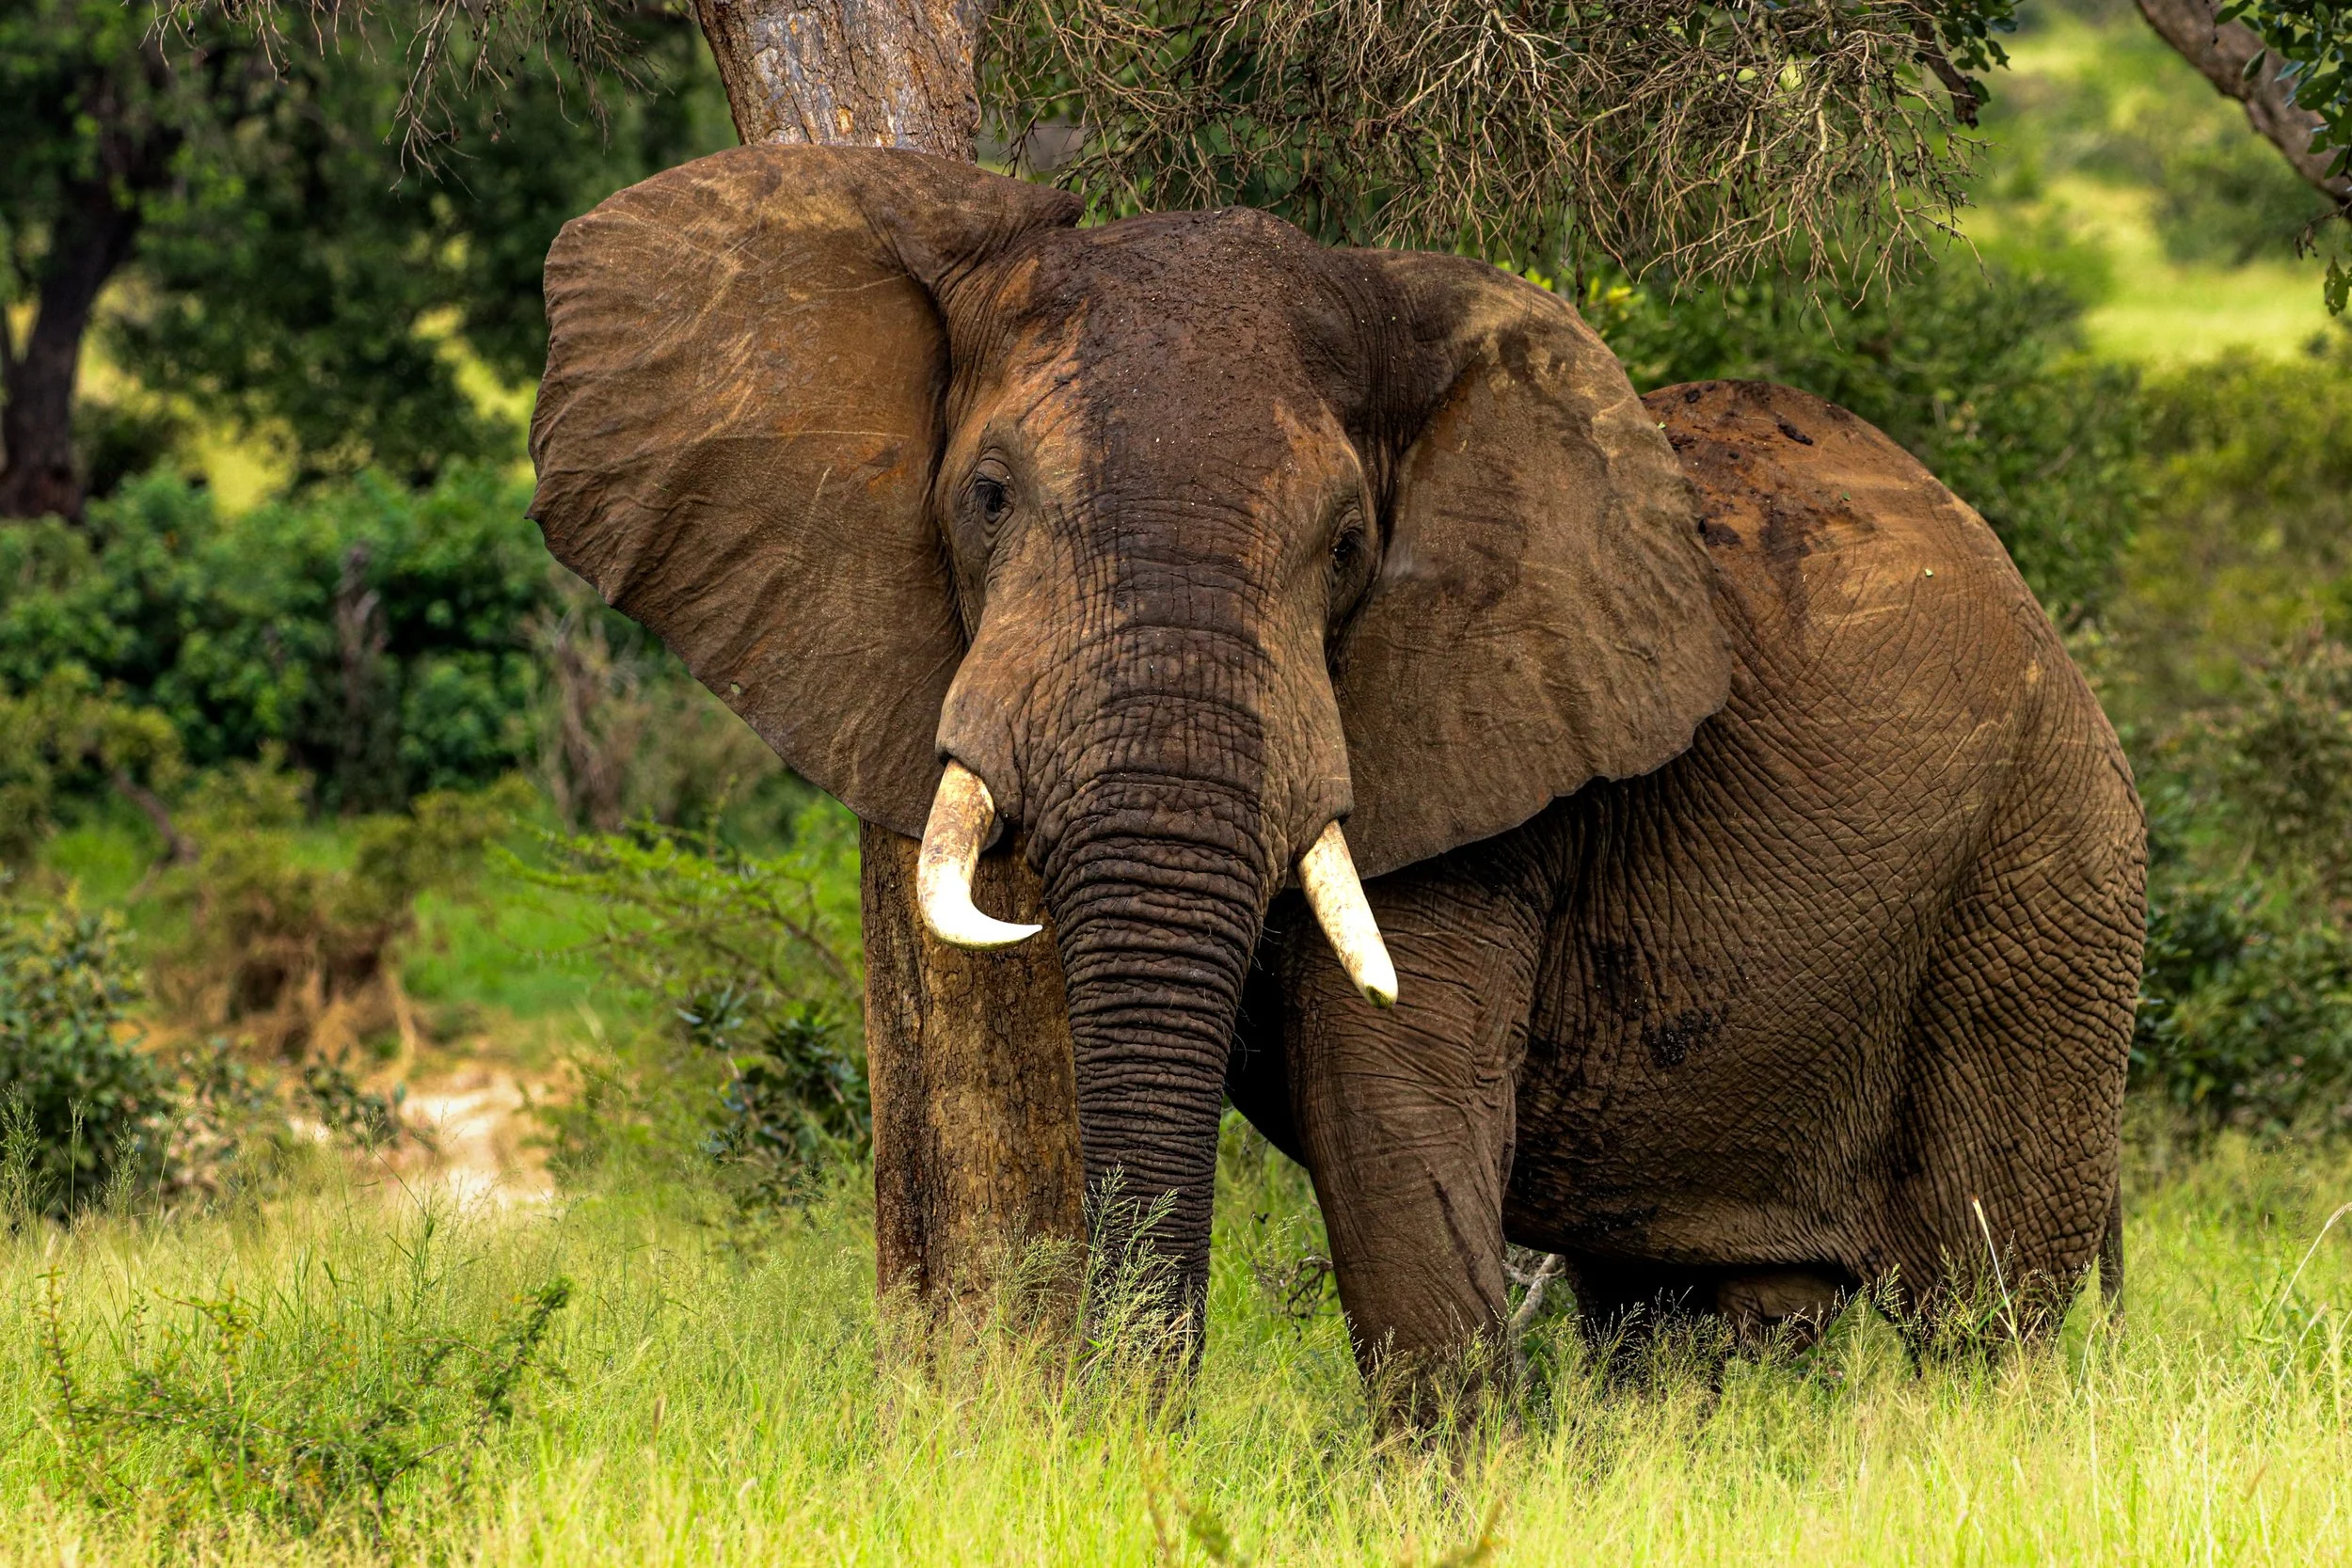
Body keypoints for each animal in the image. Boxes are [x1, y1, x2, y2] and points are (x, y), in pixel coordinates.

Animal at [528, 143, 2146, 1395]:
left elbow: (1391, 1110)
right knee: (1697, 1313)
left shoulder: (1488, 759)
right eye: (984, 497)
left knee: (1983, 1306)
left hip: (2047, 880)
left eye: (1350, 546)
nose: (1128, 1435)